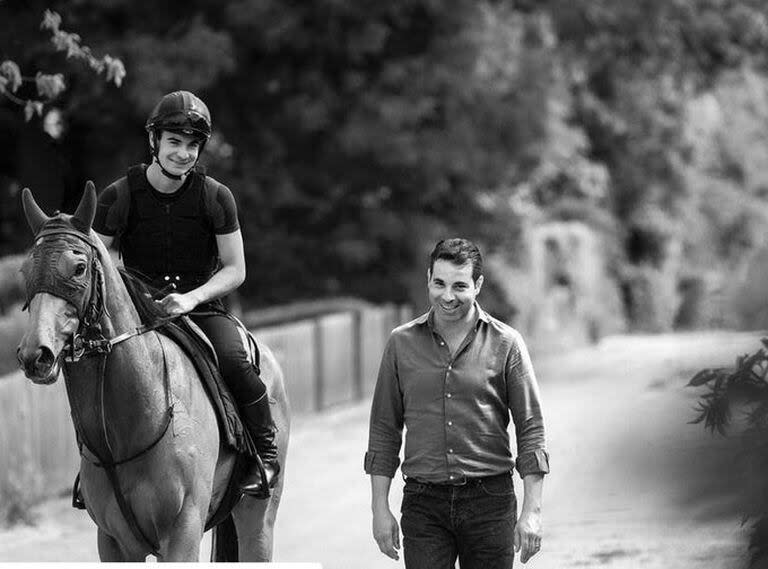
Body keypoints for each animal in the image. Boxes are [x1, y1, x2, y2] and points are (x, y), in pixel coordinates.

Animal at [15, 182, 292, 560]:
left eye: (79, 268)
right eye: (24, 271)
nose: (35, 355)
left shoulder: (182, 532)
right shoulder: (113, 542)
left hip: (257, 516)